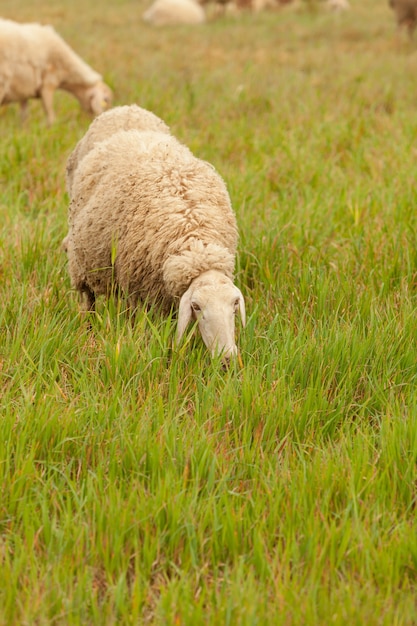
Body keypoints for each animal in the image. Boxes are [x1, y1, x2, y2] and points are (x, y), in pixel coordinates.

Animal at [62, 106, 244, 360]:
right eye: (197, 307)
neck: (195, 242)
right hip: (82, 261)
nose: (226, 358)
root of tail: (126, 109)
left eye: (234, 305)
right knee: (88, 299)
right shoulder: (138, 290)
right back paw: (88, 328)